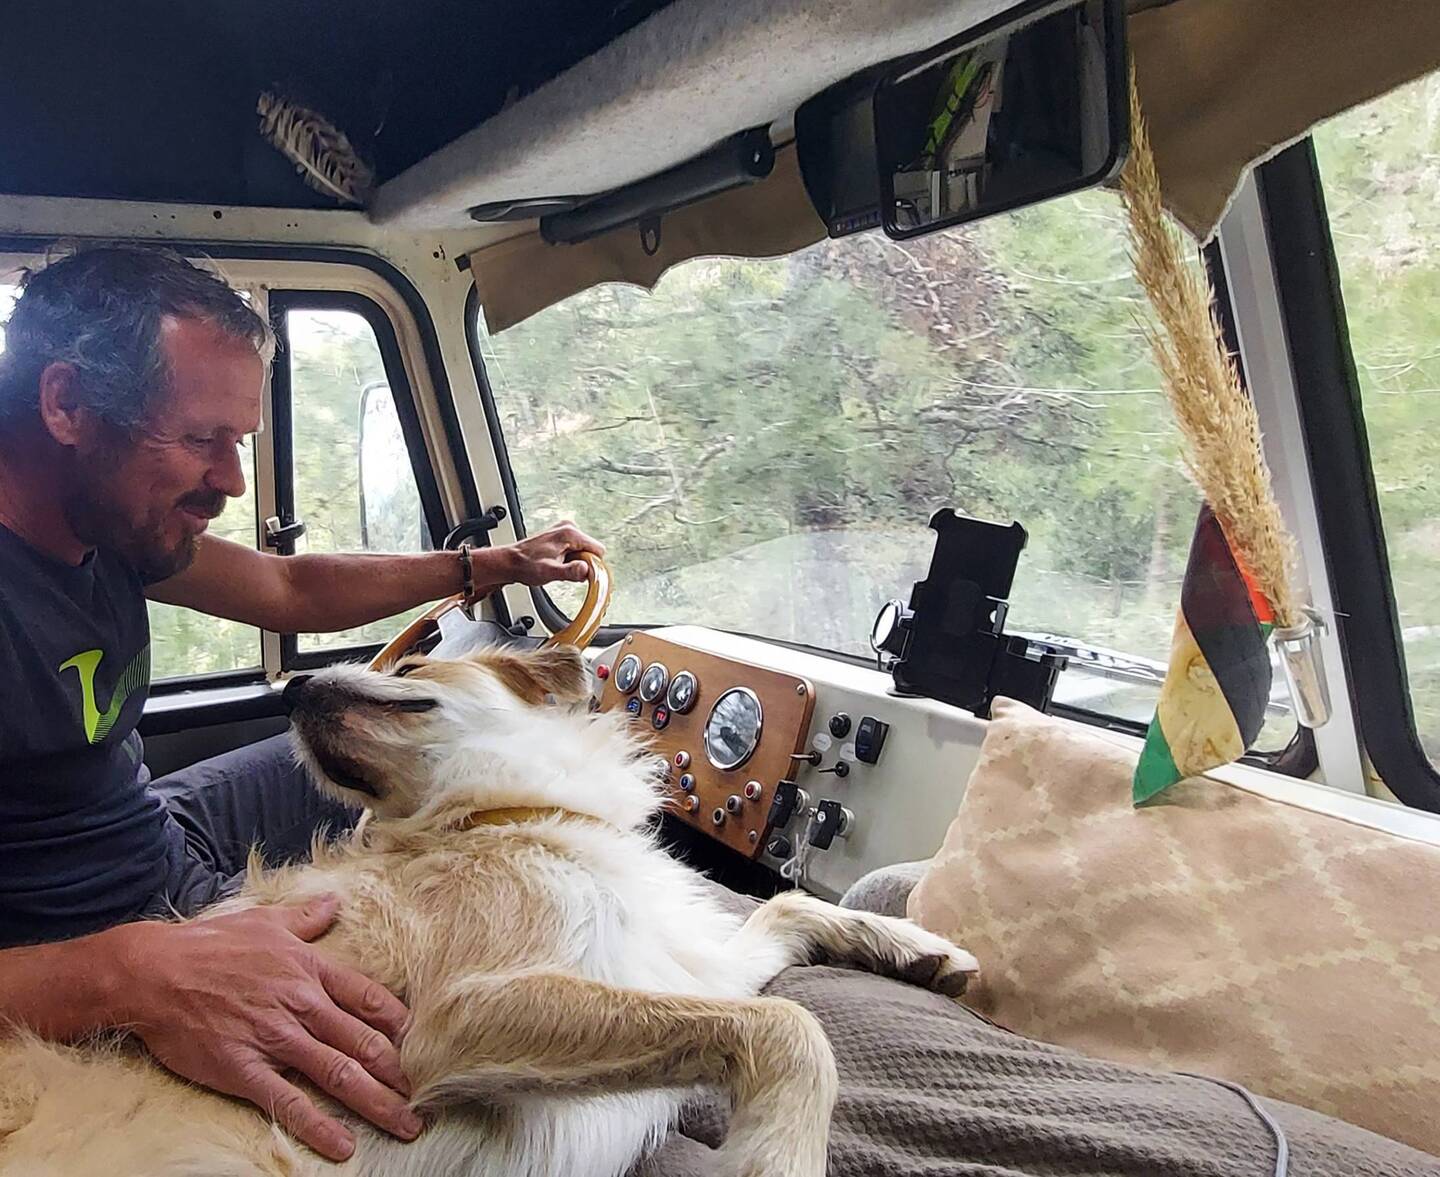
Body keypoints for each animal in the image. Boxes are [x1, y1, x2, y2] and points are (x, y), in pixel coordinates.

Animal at [0, 645, 978, 1177]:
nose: (291, 691)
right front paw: (777, 1153)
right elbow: (789, 1028)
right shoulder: (453, 1020)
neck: (504, 815)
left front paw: (917, 942)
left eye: (414, 661)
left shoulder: (680, 960)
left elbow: (784, 912)